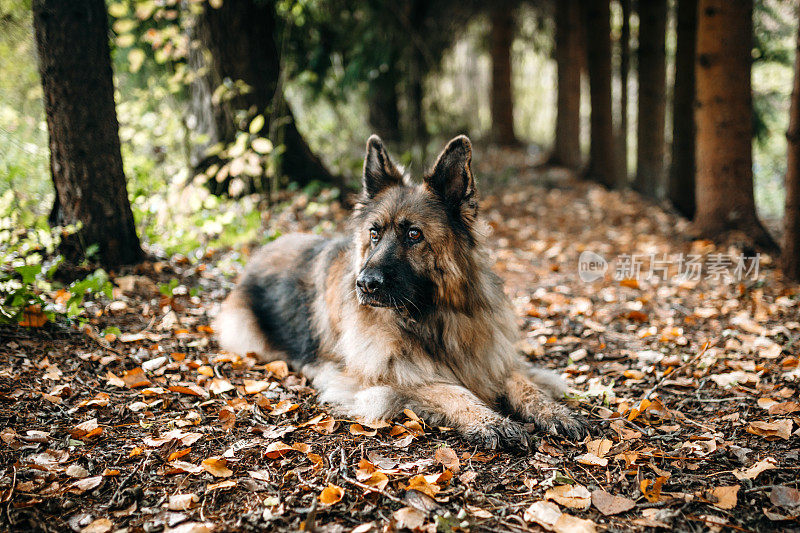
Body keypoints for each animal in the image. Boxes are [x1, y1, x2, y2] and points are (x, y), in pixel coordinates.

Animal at [216, 134, 592, 448]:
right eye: (374, 233)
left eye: (414, 235)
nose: (364, 285)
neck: (432, 318)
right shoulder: (383, 380)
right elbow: (447, 389)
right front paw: (489, 420)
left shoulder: (490, 357)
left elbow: (523, 383)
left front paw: (553, 410)